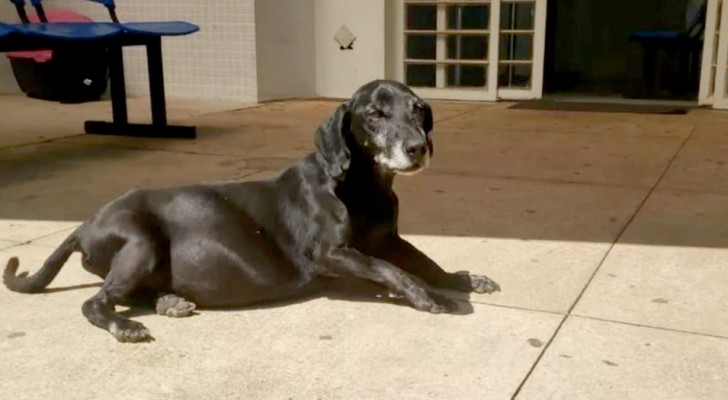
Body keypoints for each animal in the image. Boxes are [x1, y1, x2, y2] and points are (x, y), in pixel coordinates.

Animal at [1, 79, 500, 342]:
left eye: (418, 110)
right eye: (374, 114)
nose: (418, 148)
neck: (362, 185)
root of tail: (83, 225)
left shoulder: (389, 239)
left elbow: (424, 262)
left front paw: (461, 279)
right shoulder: (331, 254)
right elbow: (393, 271)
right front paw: (431, 297)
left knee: (130, 293)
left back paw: (167, 302)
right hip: (140, 240)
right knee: (95, 300)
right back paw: (124, 325)